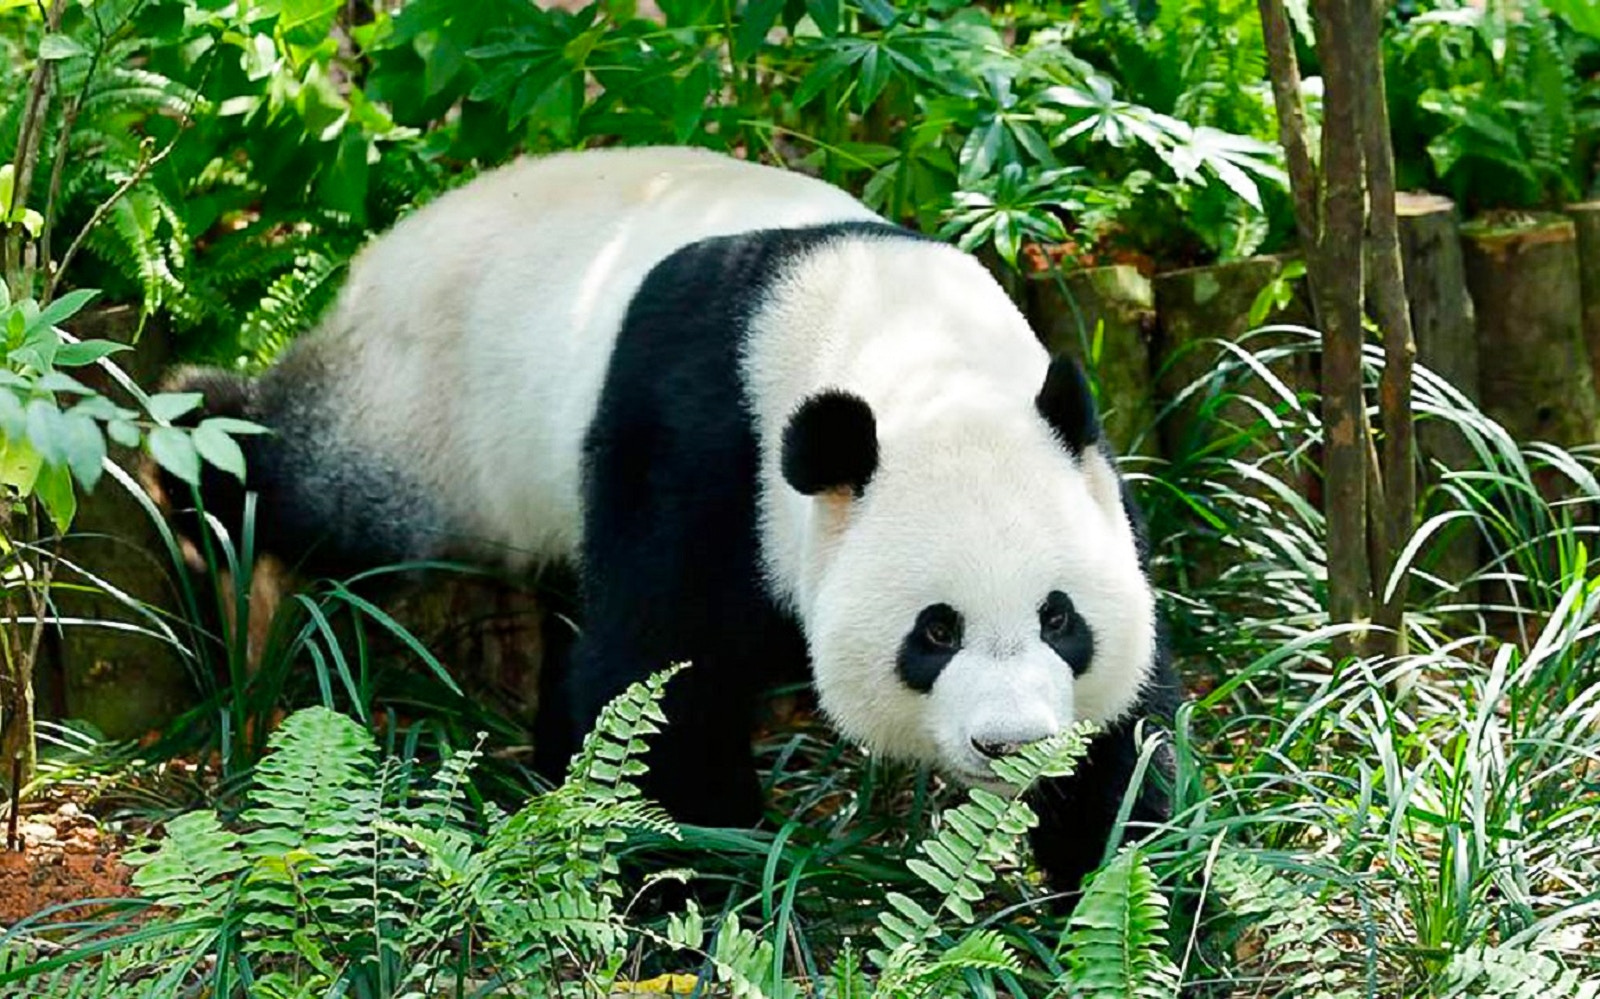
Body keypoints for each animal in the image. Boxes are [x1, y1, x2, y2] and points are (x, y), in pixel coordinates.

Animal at [159, 145, 1178, 894]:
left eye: (1060, 617)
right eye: (934, 631)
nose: (1013, 743)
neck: (900, 344)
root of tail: (378, 256)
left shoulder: (1090, 471)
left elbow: (1131, 730)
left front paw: (1110, 871)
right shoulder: (706, 448)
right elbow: (663, 672)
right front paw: (705, 872)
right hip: (421, 416)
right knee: (314, 485)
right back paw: (189, 451)